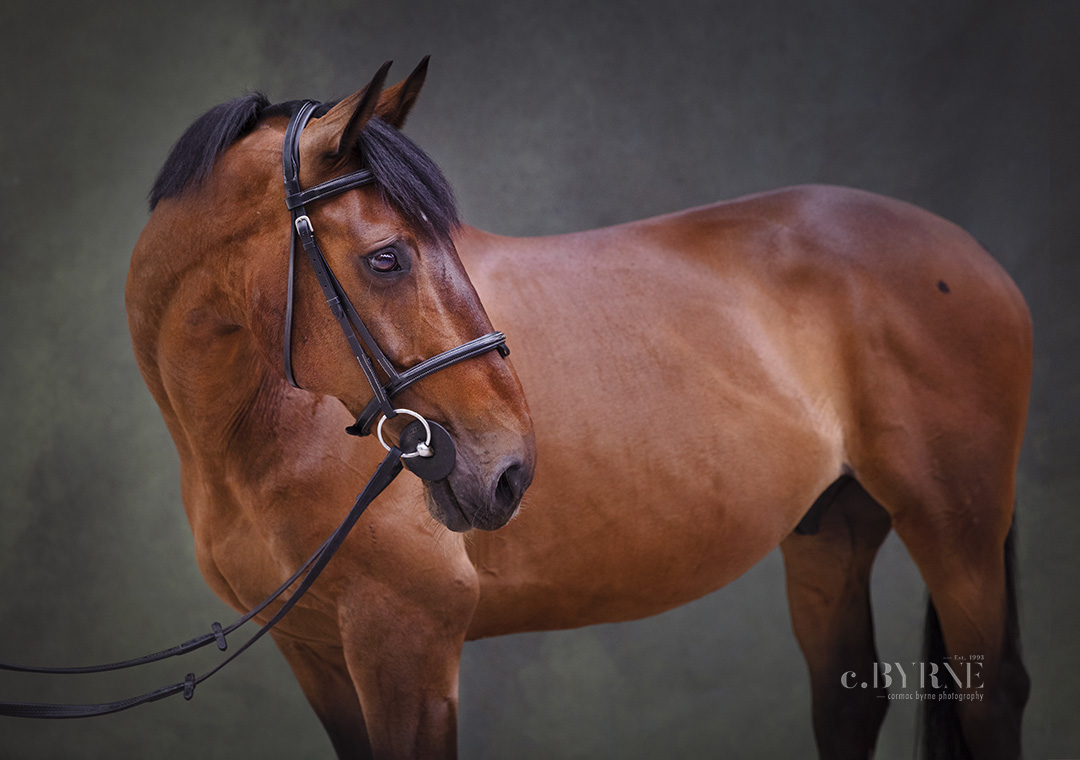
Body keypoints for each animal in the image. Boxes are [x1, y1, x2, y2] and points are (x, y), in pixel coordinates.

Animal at [127, 60, 1031, 759]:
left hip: (956, 531)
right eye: (386, 257)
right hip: (831, 533)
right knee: (848, 701)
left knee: (989, 698)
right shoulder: (314, 651)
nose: (509, 468)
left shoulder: (409, 640)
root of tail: (972, 254)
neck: (258, 440)